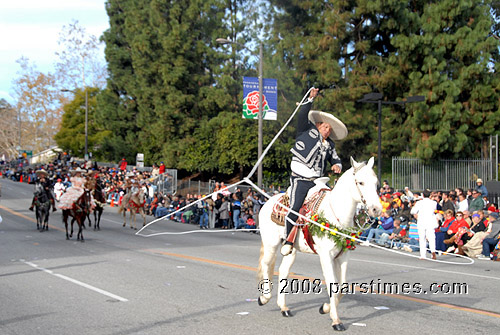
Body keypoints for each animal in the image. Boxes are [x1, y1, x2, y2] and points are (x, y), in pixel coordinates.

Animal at [258, 158, 382, 330]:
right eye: (361, 182)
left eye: (376, 183)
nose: (376, 209)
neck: (335, 214)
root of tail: (268, 201)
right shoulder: (326, 256)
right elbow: (332, 285)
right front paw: (336, 321)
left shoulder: (343, 256)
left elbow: (342, 286)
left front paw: (325, 308)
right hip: (271, 243)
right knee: (266, 264)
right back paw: (264, 298)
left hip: (291, 250)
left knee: (283, 271)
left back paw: (284, 307)